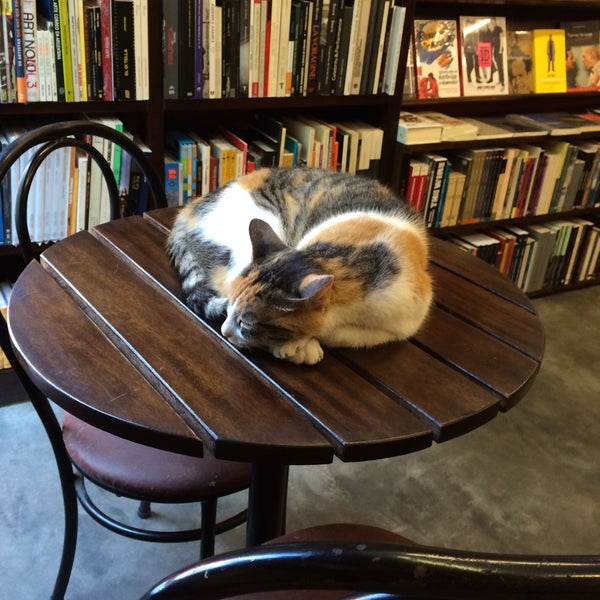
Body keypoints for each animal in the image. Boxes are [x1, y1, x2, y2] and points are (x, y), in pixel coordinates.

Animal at [166, 168, 434, 366]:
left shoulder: (401, 325)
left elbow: (346, 335)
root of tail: (188, 208)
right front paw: (296, 346)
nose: (226, 330)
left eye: (248, 324)